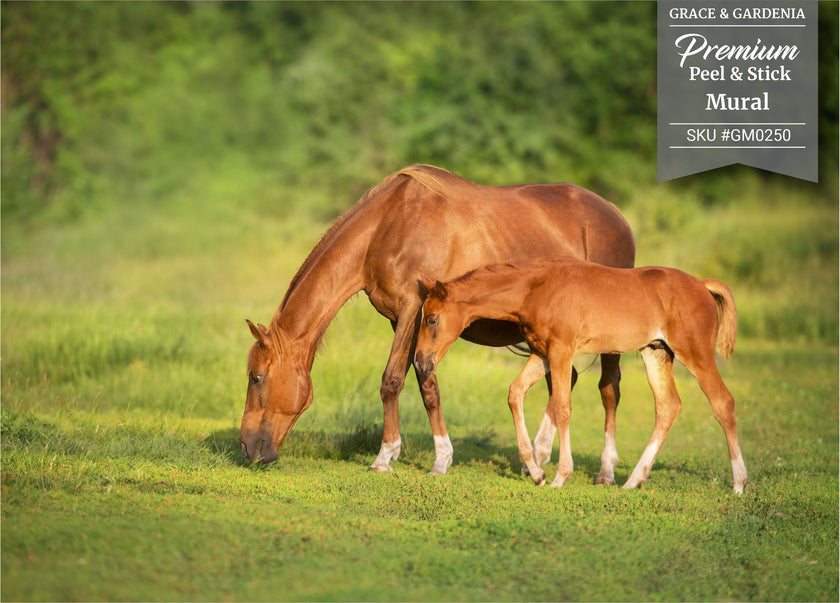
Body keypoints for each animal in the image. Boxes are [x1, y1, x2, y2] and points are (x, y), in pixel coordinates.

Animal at [240, 165, 636, 481]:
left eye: (256, 377)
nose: (245, 447)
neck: (388, 226)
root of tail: (618, 218)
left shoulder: (412, 309)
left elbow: (393, 381)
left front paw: (387, 457)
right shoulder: (408, 321)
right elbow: (425, 383)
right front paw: (440, 457)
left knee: (608, 389)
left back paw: (605, 470)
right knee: (564, 380)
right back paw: (536, 458)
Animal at [414, 258, 748, 494]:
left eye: (432, 319)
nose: (420, 363)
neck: (537, 289)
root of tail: (702, 285)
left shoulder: (561, 350)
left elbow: (562, 406)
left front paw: (560, 476)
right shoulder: (542, 352)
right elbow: (515, 392)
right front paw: (537, 473)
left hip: (695, 353)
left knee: (723, 402)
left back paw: (739, 483)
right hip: (655, 352)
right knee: (668, 406)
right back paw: (633, 481)